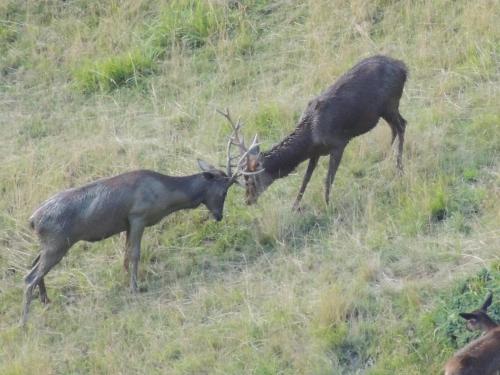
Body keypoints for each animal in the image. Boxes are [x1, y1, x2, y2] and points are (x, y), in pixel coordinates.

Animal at [19, 156, 254, 326]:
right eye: (224, 190)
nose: (219, 216)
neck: (165, 195)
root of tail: (32, 220)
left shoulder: (127, 224)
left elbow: (125, 256)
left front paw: (128, 283)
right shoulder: (138, 216)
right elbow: (134, 254)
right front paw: (135, 288)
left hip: (51, 244)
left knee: (33, 266)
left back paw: (46, 300)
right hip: (58, 243)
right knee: (30, 277)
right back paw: (24, 322)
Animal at [221, 54, 408, 210]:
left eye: (251, 180)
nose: (247, 200)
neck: (310, 136)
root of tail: (403, 67)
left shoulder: (339, 143)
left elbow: (328, 179)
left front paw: (327, 205)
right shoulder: (315, 153)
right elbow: (306, 178)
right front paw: (295, 206)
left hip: (390, 103)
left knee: (402, 125)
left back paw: (399, 169)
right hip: (385, 110)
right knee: (395, 128)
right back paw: (386, 159)